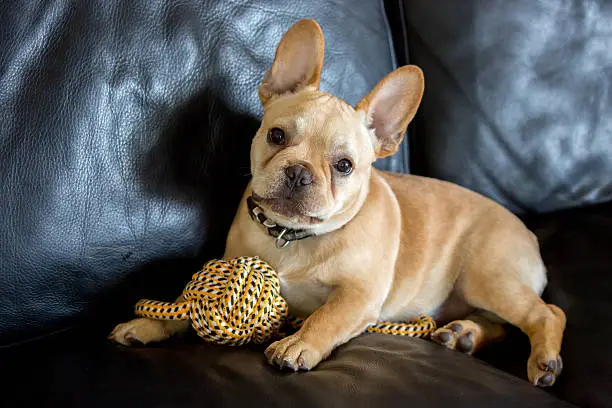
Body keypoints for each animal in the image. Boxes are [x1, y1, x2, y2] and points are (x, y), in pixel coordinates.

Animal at [110, 19, 564, 388]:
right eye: (276, 136)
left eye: (344, 166)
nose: (299, 172)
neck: (292, 236)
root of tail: (527, 233)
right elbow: (185, 308)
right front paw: (147, 325)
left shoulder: (359, 295)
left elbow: (326, 316)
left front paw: (297, 346)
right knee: (504, 324)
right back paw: (464, 334)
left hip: (487, 276)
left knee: (547, 314)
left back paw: (542, 361)